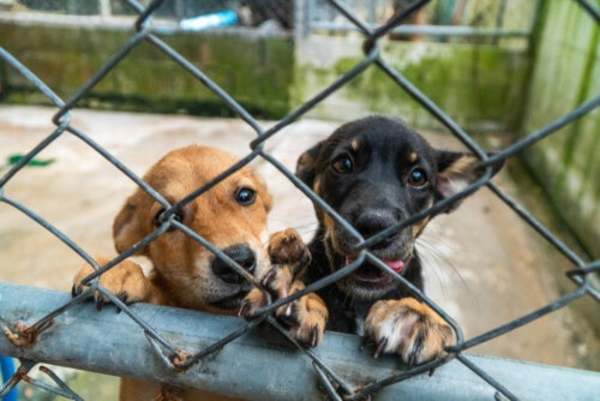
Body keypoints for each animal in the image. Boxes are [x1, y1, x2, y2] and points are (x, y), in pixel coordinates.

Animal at [296, 116, 502, 366]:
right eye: (343, 164)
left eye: (417, 177)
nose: (376, 225)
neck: (361, 302)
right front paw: (300, 297)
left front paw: (416, 315)